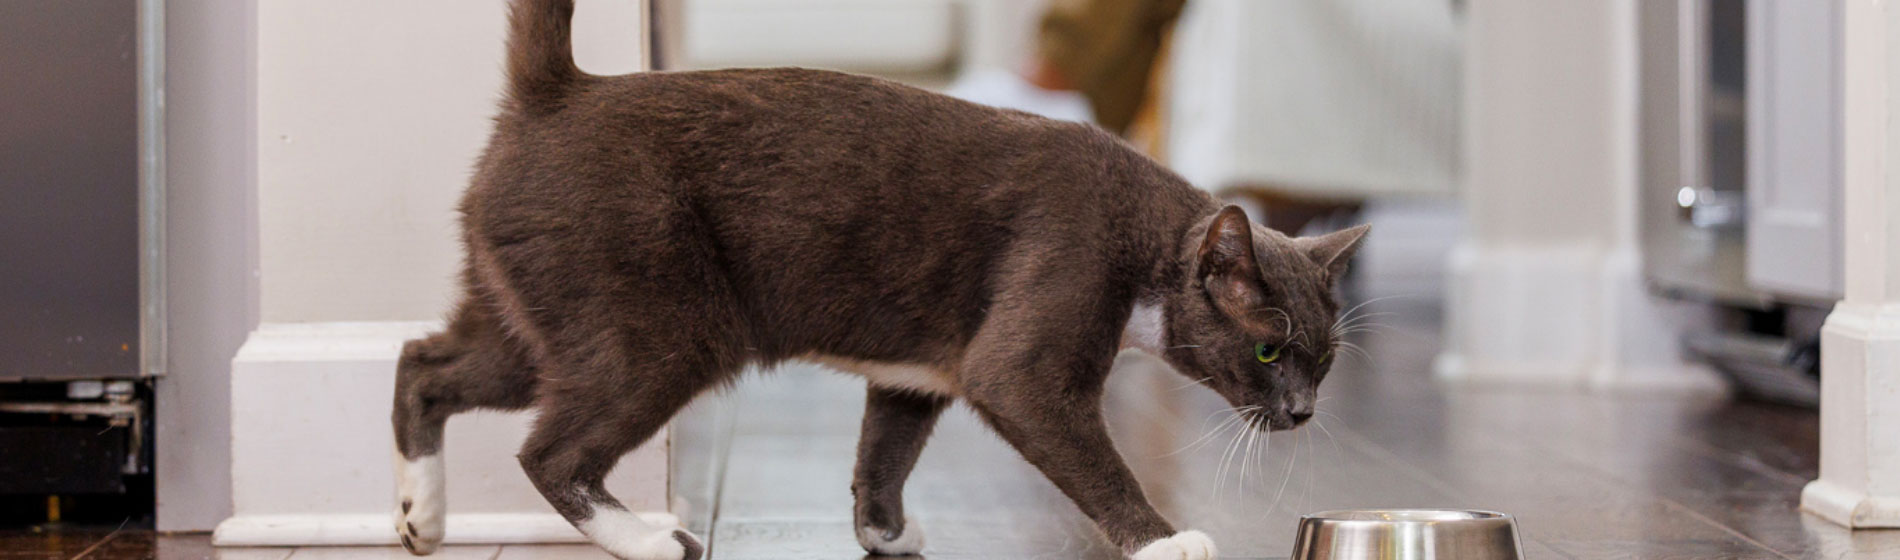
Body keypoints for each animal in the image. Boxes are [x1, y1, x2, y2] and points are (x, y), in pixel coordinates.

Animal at [389, 1, 1368, 560]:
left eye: (1324, 362)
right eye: (1269, 349)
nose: (1301, 414)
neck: (1147, 241)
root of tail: (559, 90)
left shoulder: (915, 376)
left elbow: (883, 454)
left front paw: (884, 532)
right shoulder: (1029, 346)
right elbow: (1090, 456)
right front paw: (1168, 543)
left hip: (527, 317)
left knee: (424, 365)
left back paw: (420, 517)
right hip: (657, 330)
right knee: (549, 452)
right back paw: (647, 538)